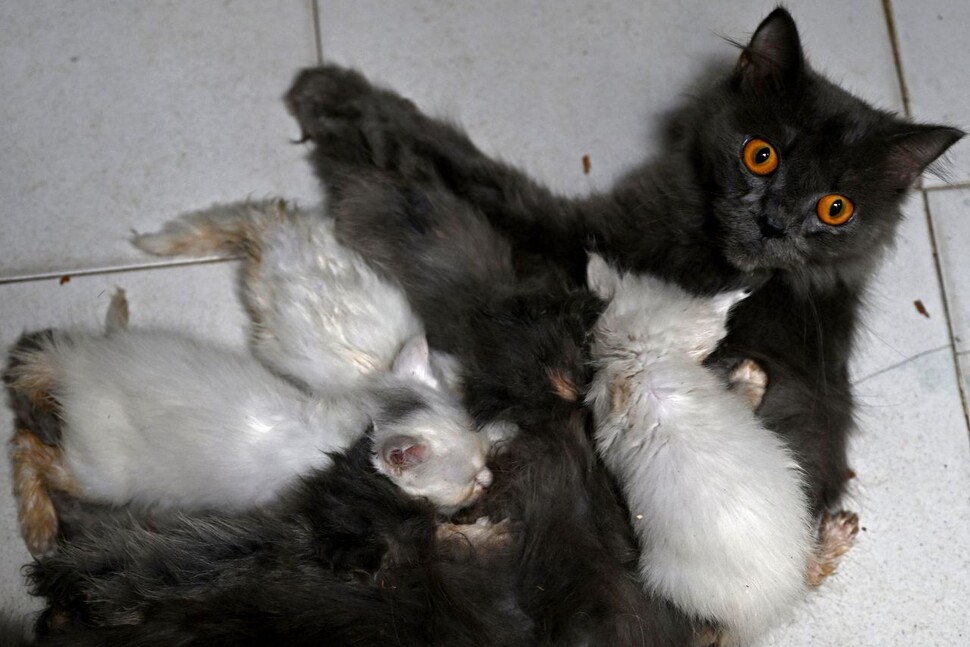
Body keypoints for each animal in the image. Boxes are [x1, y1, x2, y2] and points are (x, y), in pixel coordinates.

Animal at [282, 7, 960, 516]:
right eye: (761, 155)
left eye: (835, 208)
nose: (776, 222)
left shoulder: (564, 234)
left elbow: (469, 164)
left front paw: (331, 93)